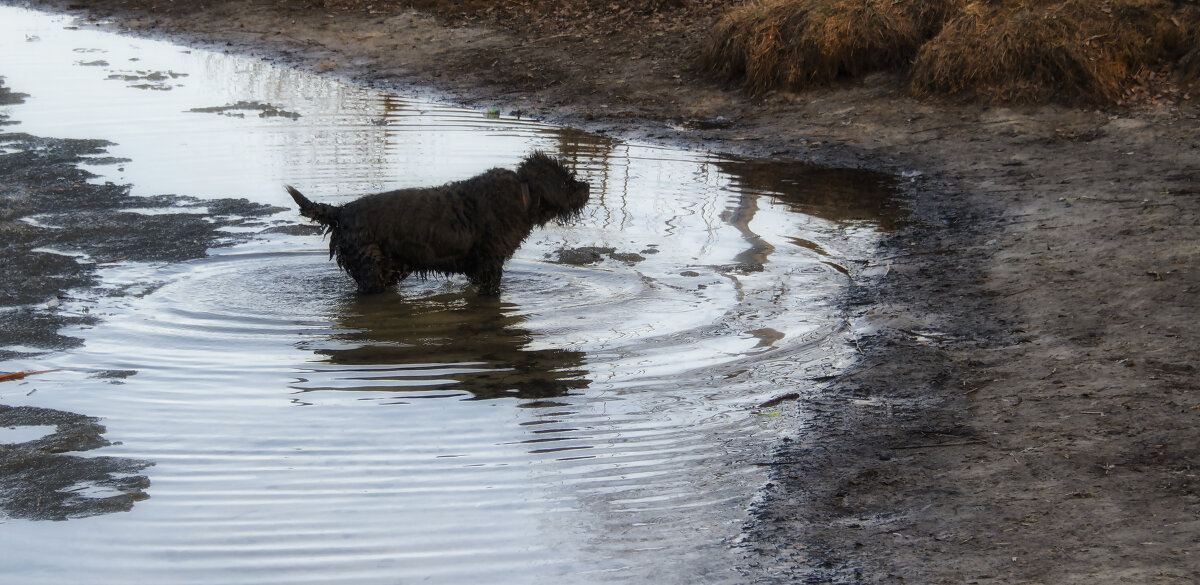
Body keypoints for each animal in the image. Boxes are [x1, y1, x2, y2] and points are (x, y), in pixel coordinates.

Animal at [290, 152, 590, 294]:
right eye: (566, 180)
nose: (587, 186)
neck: (523, 194)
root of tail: (341, 212)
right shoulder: (490, 264)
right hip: (371, 270)